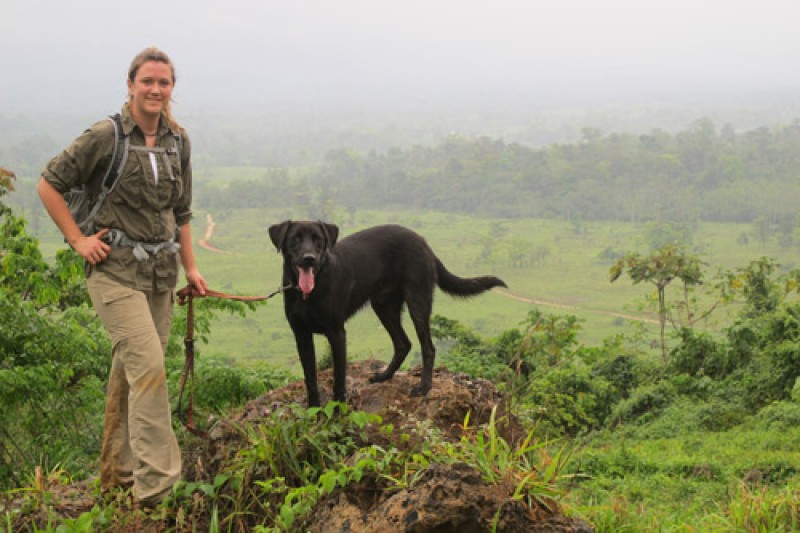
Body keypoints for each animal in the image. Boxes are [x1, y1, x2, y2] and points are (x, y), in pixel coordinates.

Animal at [268, 218, 506, 406]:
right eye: (295, 239)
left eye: (318, 239)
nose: (309, 258)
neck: (310, 291)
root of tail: (423, 242)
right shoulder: (302, 336)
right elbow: (310, 380)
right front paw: (314, 409)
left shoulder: (337, 334)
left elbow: (339, 379)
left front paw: (337, 410)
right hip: (384, 306)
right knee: (403, 343)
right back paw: (385, 375)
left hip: (418, 301)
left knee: (427, 347)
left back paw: (424, 387)